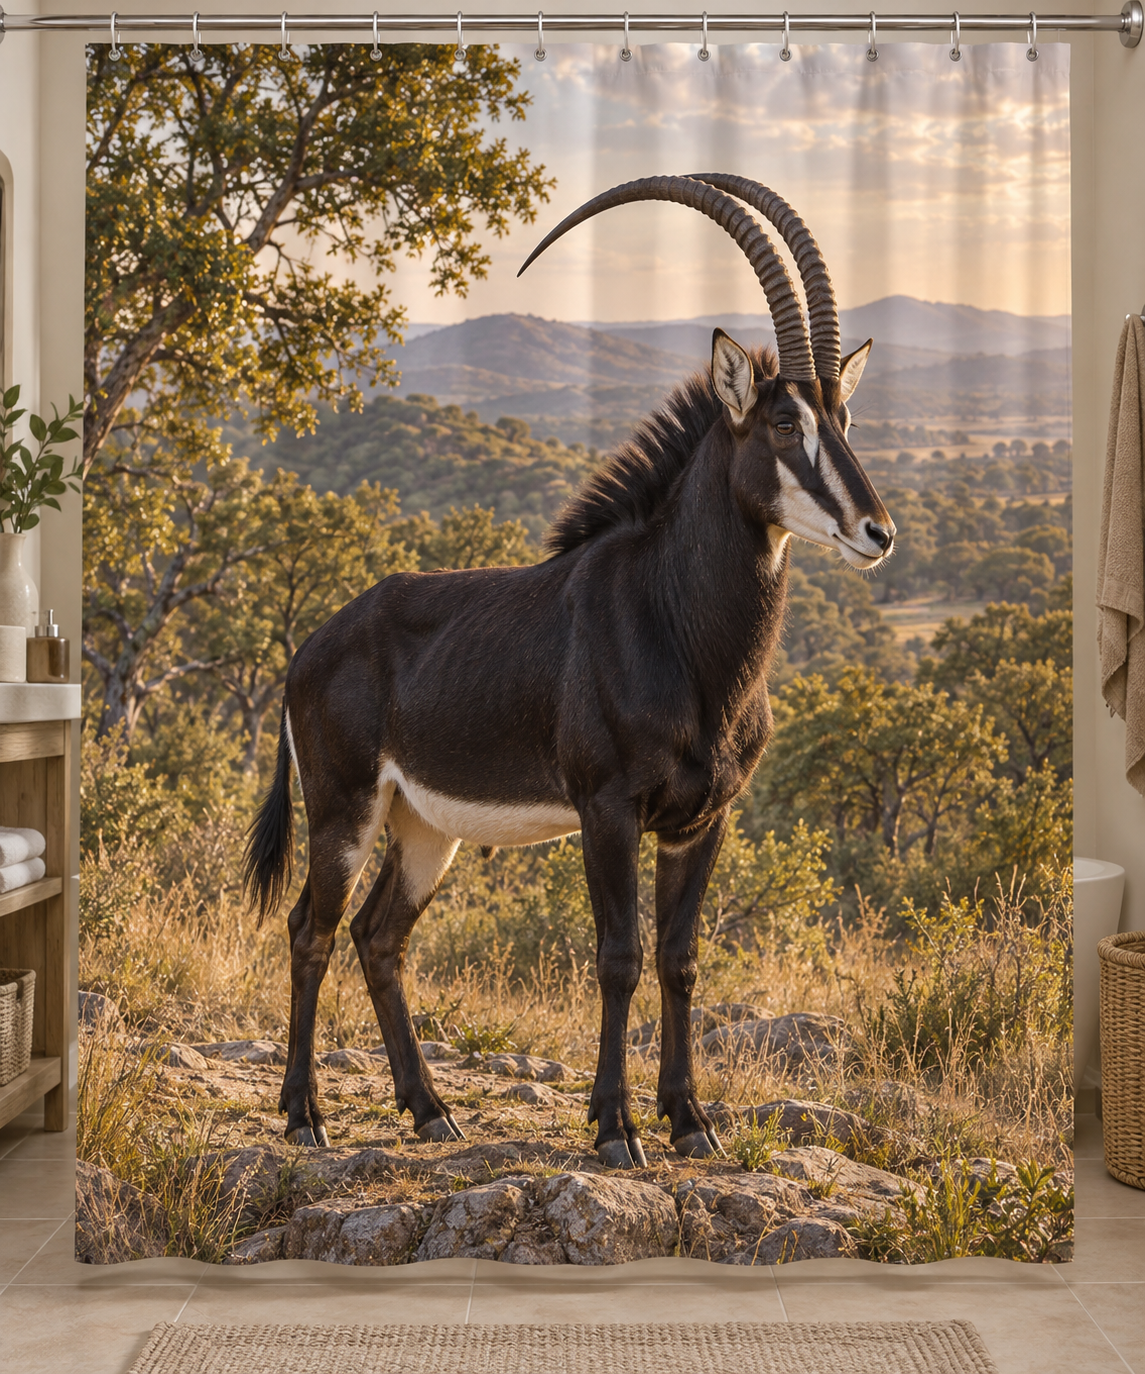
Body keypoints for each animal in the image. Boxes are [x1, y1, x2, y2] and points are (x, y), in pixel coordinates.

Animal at [245, 174, 895, 1168]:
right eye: (785, 420)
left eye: (844, 418)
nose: (876, 532)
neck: (677, 629)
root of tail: (311, 648)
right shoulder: (606, 810)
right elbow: (618, 957)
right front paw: (616, 1127)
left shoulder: (701, 822)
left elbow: (679, 959)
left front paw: (689, 1121)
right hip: (343, 809)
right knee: (310, 931)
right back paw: (304, 1114)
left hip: (425, 828)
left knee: (377, 937)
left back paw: (429, 1109)